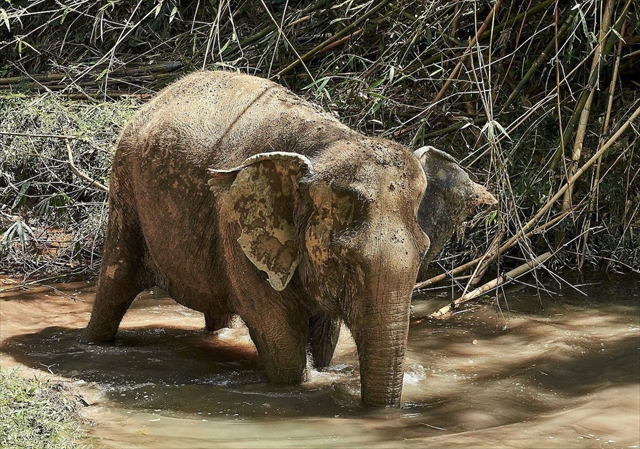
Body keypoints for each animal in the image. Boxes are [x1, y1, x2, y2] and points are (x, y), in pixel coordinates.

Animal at [85, 69, 432, 406]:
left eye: (424, 252)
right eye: (345, 259)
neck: (324, 146)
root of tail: (156, 97)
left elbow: (326, 335)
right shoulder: (235, 231)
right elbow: (278, 332)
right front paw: (299, 385)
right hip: (125, 189)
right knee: (116, 278)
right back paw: (93, 341)